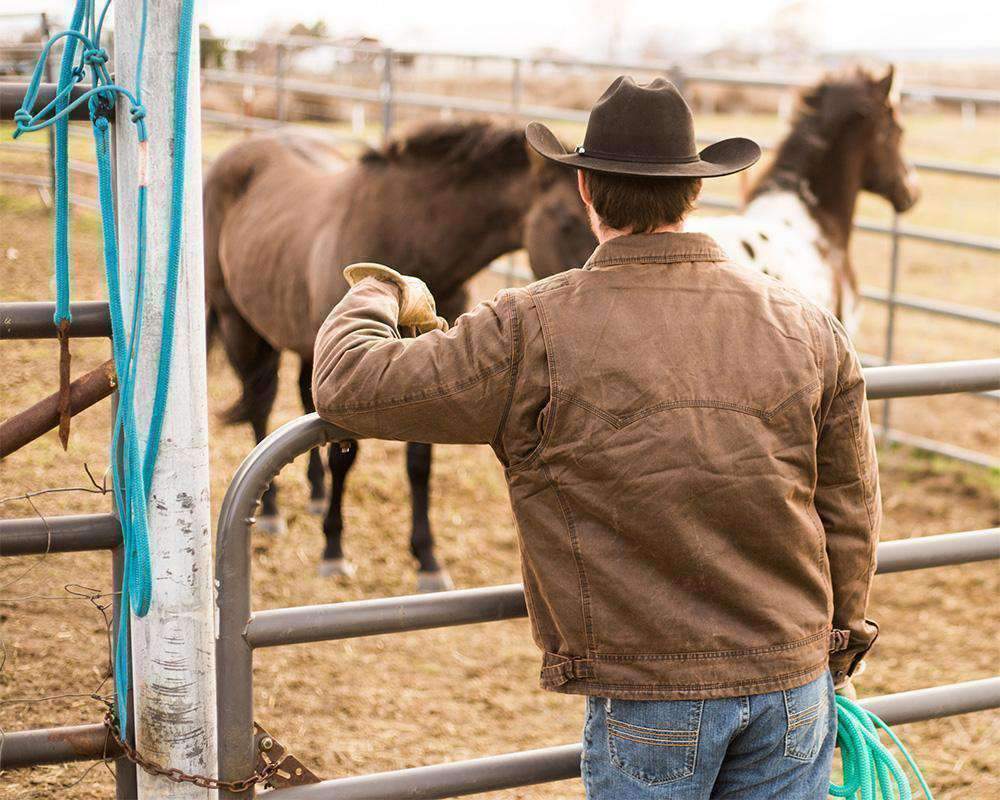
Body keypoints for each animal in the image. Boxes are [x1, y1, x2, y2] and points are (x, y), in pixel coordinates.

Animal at [204, 122, 592, 592]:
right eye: (567, 220)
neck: (407, 237)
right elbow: (343, 457)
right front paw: (333, 550)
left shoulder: (432, 376)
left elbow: (419, 464)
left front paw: (427, 560)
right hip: (240, 326)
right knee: (260, 407)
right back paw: (273, 511)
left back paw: (315, 494)